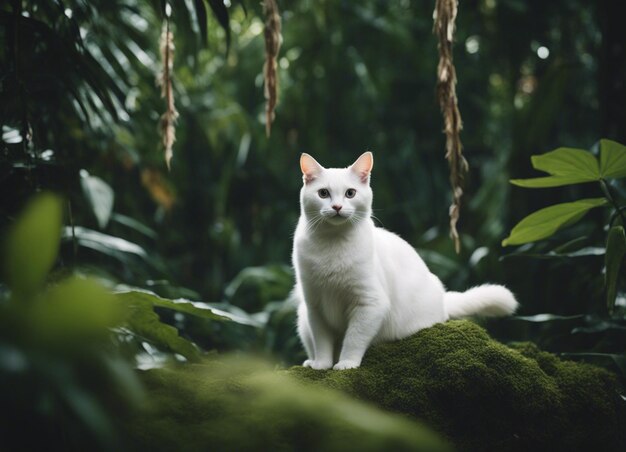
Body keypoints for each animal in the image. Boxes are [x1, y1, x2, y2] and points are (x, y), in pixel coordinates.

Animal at [292, 152, 516, 370]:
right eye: (323, 193)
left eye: (350, 193)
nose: (337, 206)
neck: (332, 244)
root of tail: (443, 300)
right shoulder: (314, 307)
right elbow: (321, 342)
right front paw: (321, 365)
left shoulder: (370, 303)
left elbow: (353, 339)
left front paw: (346, 364)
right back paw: (311, 361)